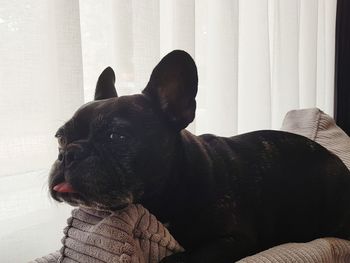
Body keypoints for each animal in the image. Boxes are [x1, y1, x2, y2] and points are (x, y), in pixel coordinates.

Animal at [48, 50, 350, 262]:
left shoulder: (232, 239)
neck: (167, 191)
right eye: (60, 138)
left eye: (117, 137)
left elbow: (181, 259)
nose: (69, 154)